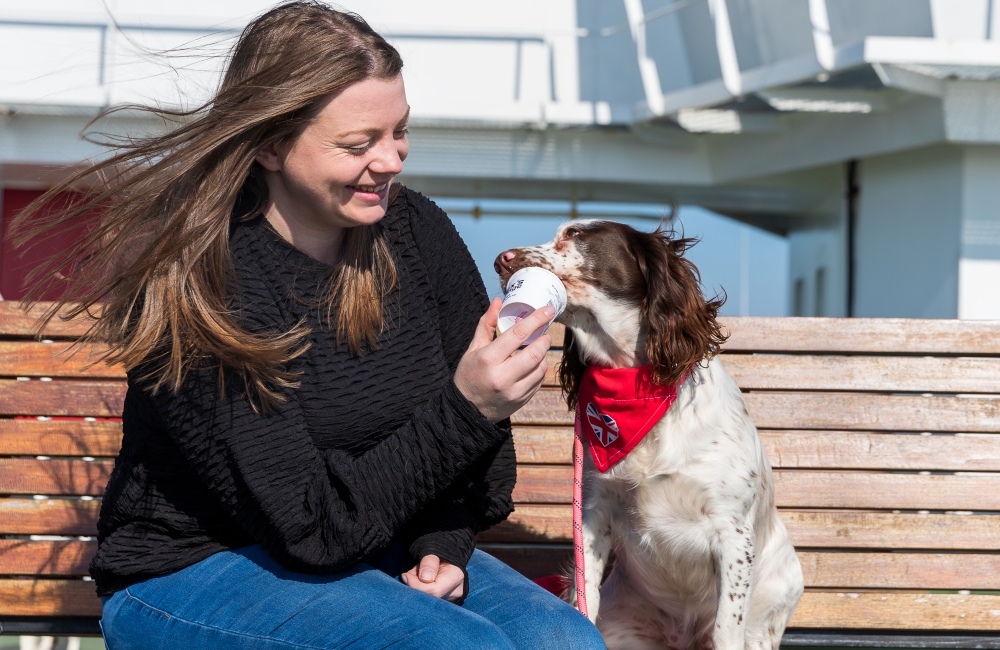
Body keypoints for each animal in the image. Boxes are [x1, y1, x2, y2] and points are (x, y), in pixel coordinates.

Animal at [494, 219, 804, 648]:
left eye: (574, 234)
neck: (636, 382)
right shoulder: (594, 514)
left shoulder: (733, 533)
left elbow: (727, 626)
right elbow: (584, 598)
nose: (499, 260)